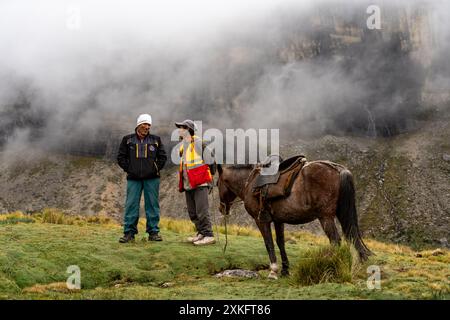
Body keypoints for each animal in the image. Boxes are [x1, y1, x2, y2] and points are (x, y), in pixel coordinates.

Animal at [216, 161, 370, 278]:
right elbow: (280, 243)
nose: (221, 208)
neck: (250, 183)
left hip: (325, 217)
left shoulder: (261, 220)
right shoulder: (278, 220)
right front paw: (285, 270)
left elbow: (268, 243)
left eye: (217, 183)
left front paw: (273, 271)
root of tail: (338, 169)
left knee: (335, 241)